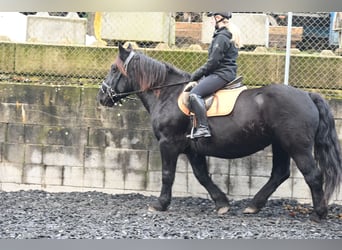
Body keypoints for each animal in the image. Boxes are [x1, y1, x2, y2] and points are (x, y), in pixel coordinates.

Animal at [97, 44, 342, 221]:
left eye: (113, 69)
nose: (101, 96)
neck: (167, 94)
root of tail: (307, 94)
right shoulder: (192, 149)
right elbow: (202, 175)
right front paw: (222, 204)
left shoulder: (168, 143)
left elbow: (168, 174)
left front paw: (160, 204)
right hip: (280, 144)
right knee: (279, 173)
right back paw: (253, 206)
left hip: (297, 146)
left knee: (313, 175)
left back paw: (319, 213)